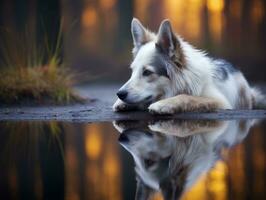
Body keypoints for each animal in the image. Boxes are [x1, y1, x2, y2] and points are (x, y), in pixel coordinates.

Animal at [112, 18, 266, 114]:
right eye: (132, 71)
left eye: (147, 72)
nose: (119, 94)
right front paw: (121, 103)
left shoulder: (221, 103)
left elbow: (187, 97)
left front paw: (164, 104)